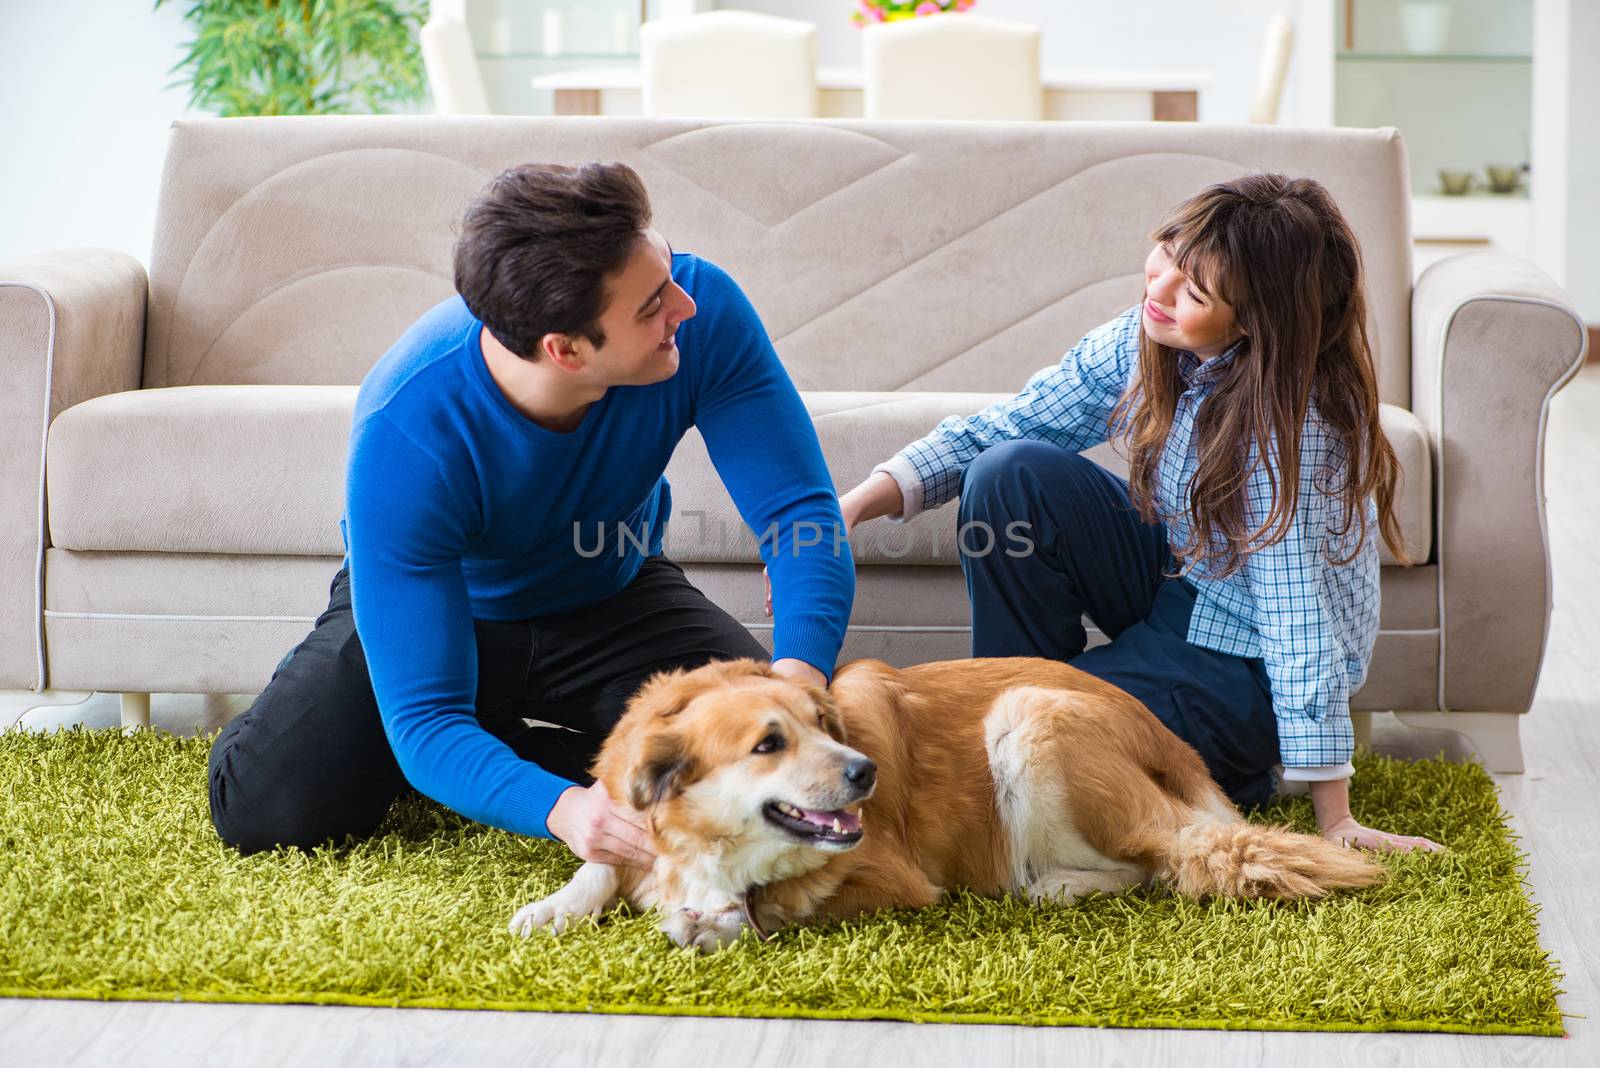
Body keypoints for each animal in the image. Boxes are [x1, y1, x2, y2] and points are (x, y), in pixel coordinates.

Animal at [505, 658, 1382, 952]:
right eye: (768, 743)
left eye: (822, 725)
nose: (865, 773)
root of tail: (1176, 746)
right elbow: (602, 864)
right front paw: (553, 907)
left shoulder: (893, 878)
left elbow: (783, 903)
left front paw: (720, 922)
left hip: (1029, 716)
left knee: (1154, 863)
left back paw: (1053, 885)